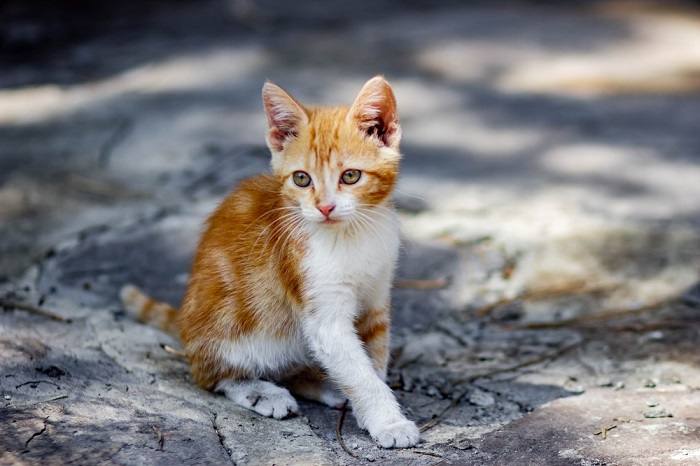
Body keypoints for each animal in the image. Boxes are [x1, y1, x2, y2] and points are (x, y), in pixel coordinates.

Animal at [120, 76, 418, 448]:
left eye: (350, 176)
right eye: (302, 179)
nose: (324, 207)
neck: (352, 234)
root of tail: (186, 329)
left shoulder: (376, 297)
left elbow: (372, 359)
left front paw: (378, 410)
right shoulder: (321, 311)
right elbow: (357, 370)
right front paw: (389, 421)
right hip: (232, 331)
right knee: (211, 375)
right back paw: (262, 393)